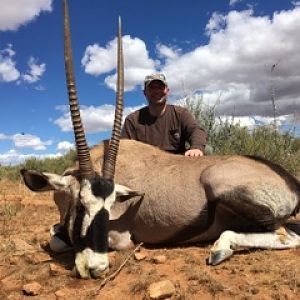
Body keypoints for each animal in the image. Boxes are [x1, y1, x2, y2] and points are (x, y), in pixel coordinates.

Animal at [21, 0, 300, 278]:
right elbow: (55, 236)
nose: (96, 268)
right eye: (80, 205)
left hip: (219, 183)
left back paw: (221, 248)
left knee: (287, 235)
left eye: (109, 207)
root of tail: (290, 181)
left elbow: (60, 241)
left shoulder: (121, 236)